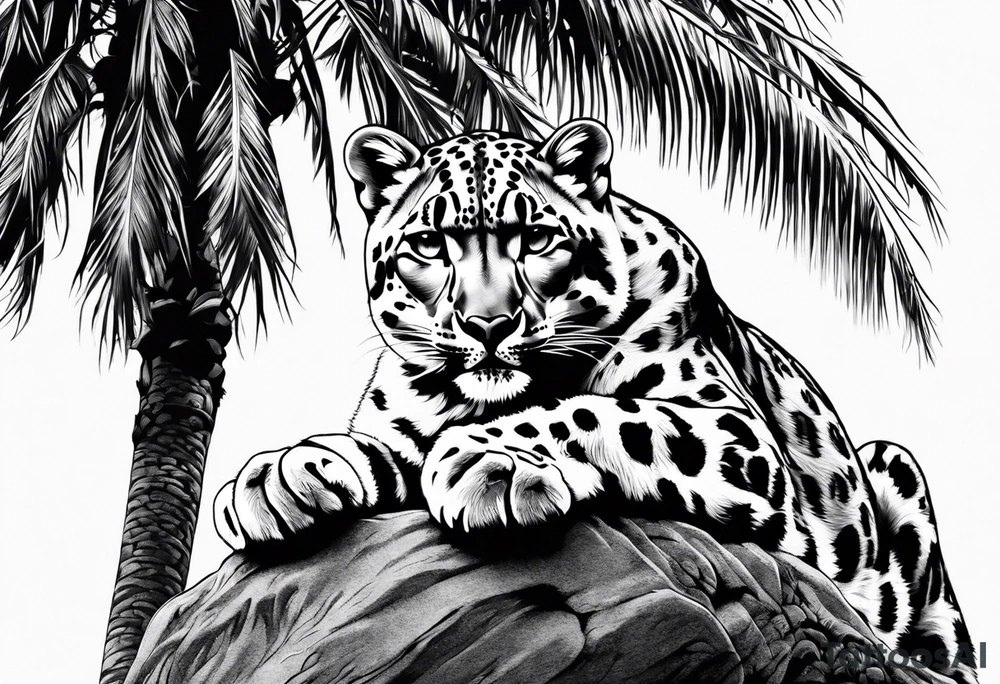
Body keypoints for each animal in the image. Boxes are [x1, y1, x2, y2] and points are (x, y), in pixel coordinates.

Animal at [214, 119, 975, 683]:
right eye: (428, 244)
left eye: (535, 237)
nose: (488, 324)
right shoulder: (404, 421)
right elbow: (384, 447)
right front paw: (281, 474)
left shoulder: (736, 435)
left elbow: (599, 412)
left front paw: (486, 463)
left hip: (894, 473)